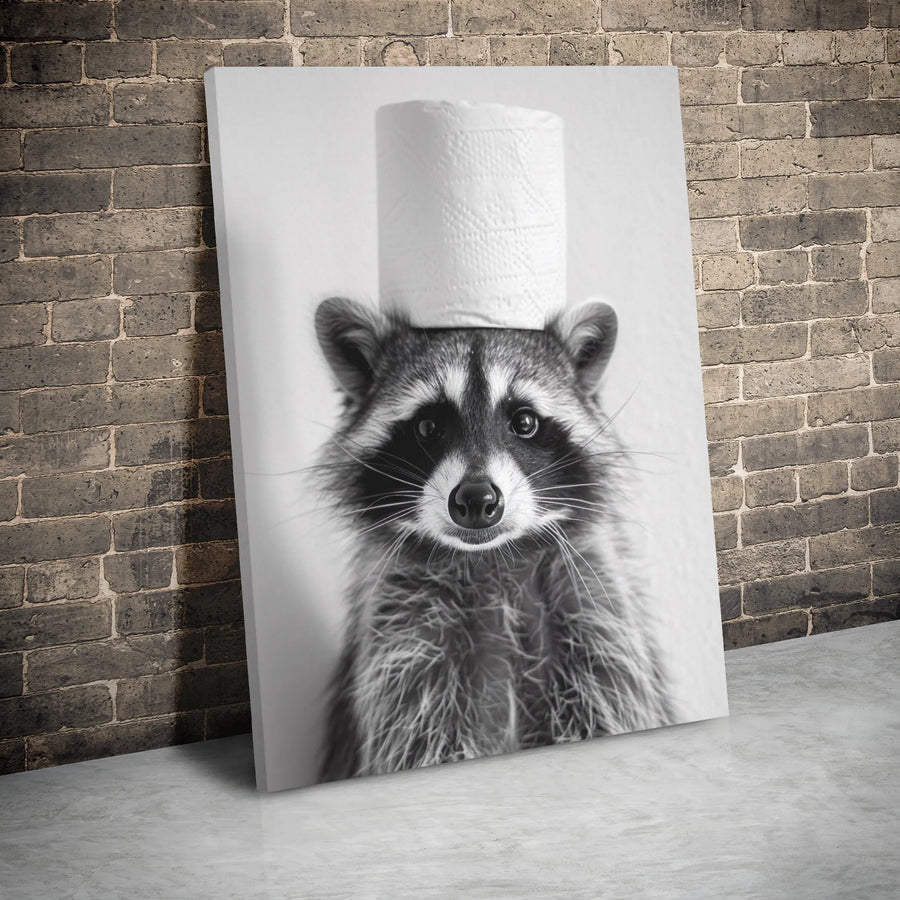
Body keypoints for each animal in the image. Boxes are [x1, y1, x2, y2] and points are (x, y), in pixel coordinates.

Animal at [314, 297, 674, 781]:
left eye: (524, 421)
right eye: (428, 427)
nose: (476, 499)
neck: (495, 558)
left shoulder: (595, 606)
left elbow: (608, 705)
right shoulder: (404, 632)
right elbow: (420, 739)